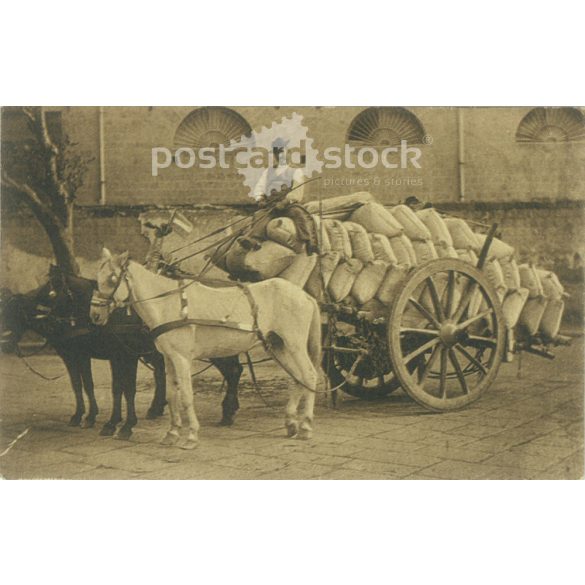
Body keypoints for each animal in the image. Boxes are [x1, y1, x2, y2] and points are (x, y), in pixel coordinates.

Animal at [0, 264, 243, 438]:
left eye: (50, 293)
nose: (5, 341)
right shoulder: (91, 355)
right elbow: (90, 386)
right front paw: (95, 418)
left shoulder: (122, 355)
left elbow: (125, 389)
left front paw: (121, 425)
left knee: (233, 371)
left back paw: (228, 411)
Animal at [90, 246, 324, 448]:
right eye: (97, 278)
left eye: (112, 279)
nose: (95, 315)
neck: (167, 304)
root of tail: (304, 294)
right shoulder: (168, 358)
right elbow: (172, 394)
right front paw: (172, 433)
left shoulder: (182, 358)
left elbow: (186, 395)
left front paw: (191, 435)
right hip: (278, 346)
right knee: (298, 378)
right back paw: (291, 423)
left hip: (294, 344)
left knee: (309, 375)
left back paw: (305, 426)